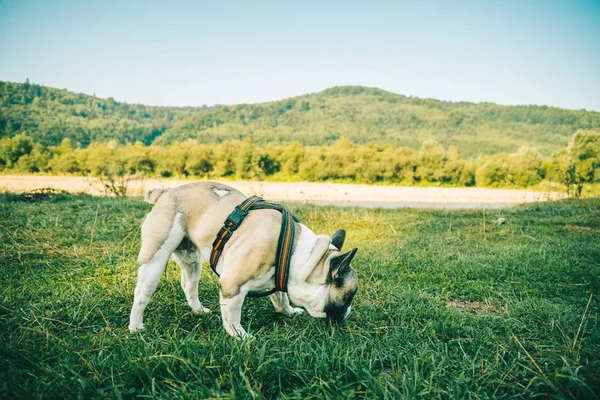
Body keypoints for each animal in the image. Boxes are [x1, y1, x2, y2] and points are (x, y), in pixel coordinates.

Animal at [127, 181, 358, 338]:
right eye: (348, 297)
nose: (349, 312)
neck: (298, 255)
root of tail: (166, 192)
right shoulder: (232, 284)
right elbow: (232, 315)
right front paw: (240, 336)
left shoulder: (279, 277)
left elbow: (280, 298)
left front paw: (289, 312)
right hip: (155, 257)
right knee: (142, 293)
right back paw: (136, 326)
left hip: (191, 258)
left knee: (189, 284)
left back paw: (198, 310)